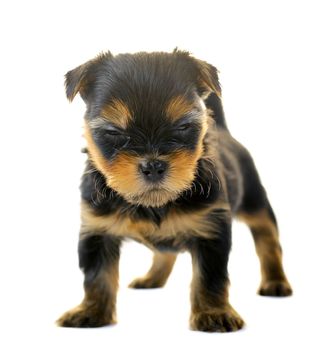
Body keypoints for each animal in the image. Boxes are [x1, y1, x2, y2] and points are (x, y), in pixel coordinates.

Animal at [57, 49, 294, 330]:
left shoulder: (211, 229)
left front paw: (214, 313)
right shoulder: (97, 229)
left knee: (268, 239)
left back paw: (275, 282)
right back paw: (151, 279)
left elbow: (210, 277)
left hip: (254, 198)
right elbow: (97, 275)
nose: (153, 165)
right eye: (114, 132)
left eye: (182, 127)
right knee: (164, 253)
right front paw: (90, 311)